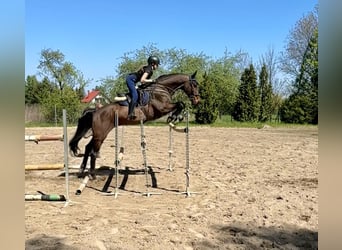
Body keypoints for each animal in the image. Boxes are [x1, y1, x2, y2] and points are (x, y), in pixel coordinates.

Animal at [69, 71, 200, 179]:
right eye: (194, 85)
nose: (197, 101)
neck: (161, 89)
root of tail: (95, 112)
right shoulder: (162, 108)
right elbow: (180, 104)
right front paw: (174, 117)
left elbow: (180, 104)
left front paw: (176, 117)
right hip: (101, 135)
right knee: (93, 152)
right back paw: (92, 175)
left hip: (98, 135)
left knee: (87, 148)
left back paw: (82, 171)